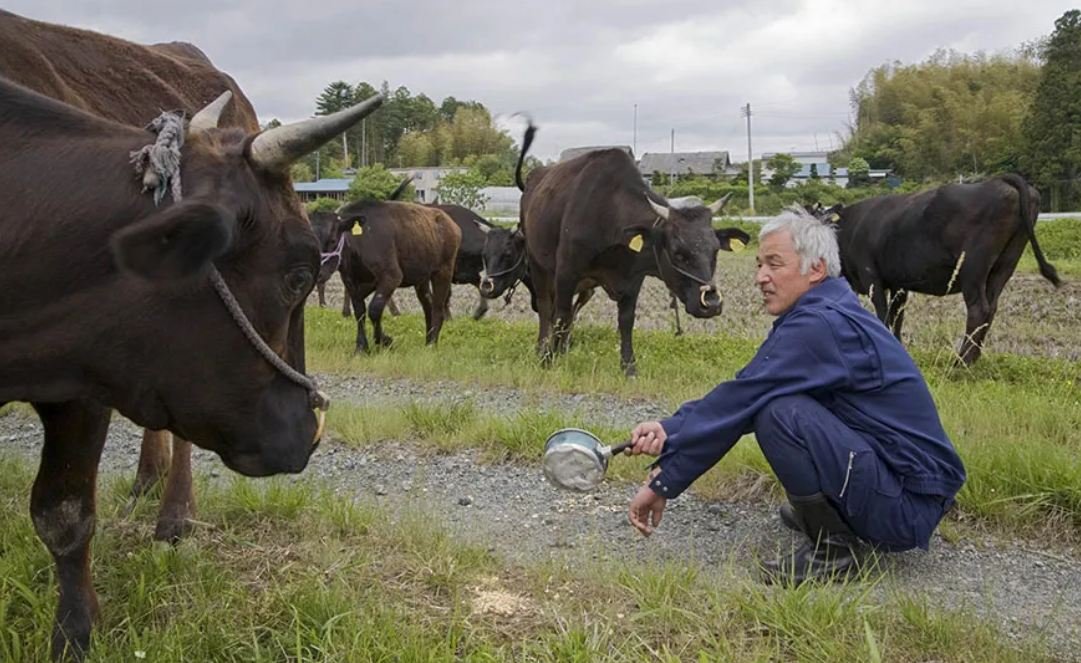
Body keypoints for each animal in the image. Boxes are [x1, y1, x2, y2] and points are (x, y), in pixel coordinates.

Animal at [330, 199, 462, 348]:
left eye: (332, 240)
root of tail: (452, 224)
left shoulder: (392, 276)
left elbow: (374, 309)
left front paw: (383, 340)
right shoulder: (351, 281)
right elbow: (359, 311)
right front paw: (361, 346)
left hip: (443, 272)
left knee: (438, 308)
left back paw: (432, 343)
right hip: (422, 279)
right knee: (428, 305)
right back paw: (428, 339)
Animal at [817, 173, 1055, 361]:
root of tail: (998, 181)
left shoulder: (871, 277)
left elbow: (883, 316)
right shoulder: (898, 284)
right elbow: (896, 318)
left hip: (973, 268)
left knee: (978, 310)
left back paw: (961, 362)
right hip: (1005, 264)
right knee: (991, 308)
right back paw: (973, 359)